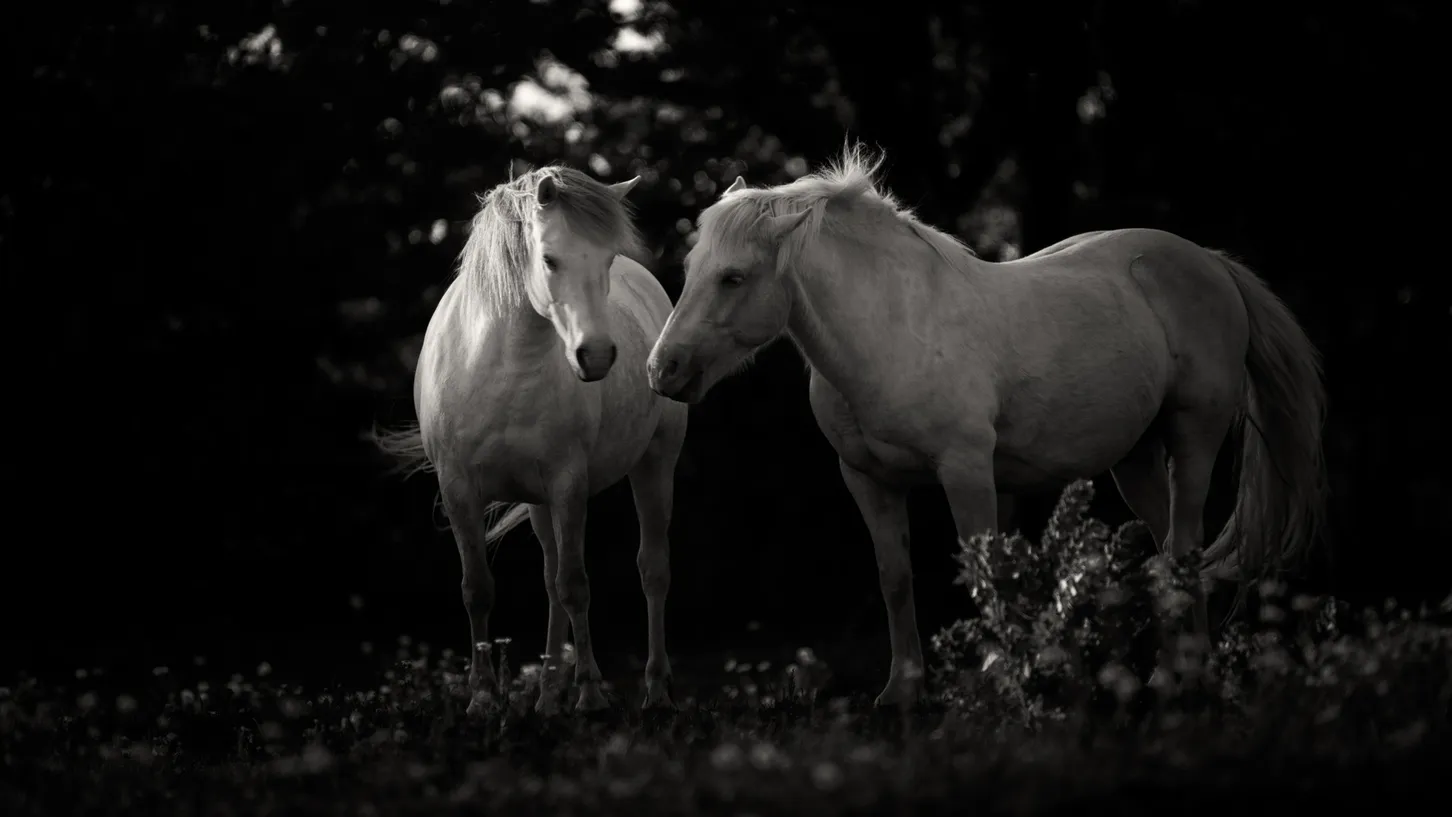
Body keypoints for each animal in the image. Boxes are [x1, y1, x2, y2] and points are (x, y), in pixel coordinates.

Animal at [376, 165, 688, 715]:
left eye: (607, 260)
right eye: (549, 260)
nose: (597, 356)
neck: (503, 365)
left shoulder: (568, 486)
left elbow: (576, 585)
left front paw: (590, 694)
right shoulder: (459, 490)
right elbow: (478, 589)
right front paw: (482, 699)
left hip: (655, 465)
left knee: (652, 570)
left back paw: (655, 693)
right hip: (541, 503)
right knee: (549, 579)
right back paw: (545, 698)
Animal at [646, 144, 1327, 707]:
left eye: (733, 277)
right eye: (692, 267)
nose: (662, 369)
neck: (893, 327)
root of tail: (1208, 262)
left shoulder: (967, 471)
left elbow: (985, 576)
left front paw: (999, 680)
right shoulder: (867, 480)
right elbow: (895, 579)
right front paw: (902, 692)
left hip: (1193, 438)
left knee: (1185, 549)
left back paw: (1189, 679)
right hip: (1134, 459)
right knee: (1168, 554)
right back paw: (1176, 675)